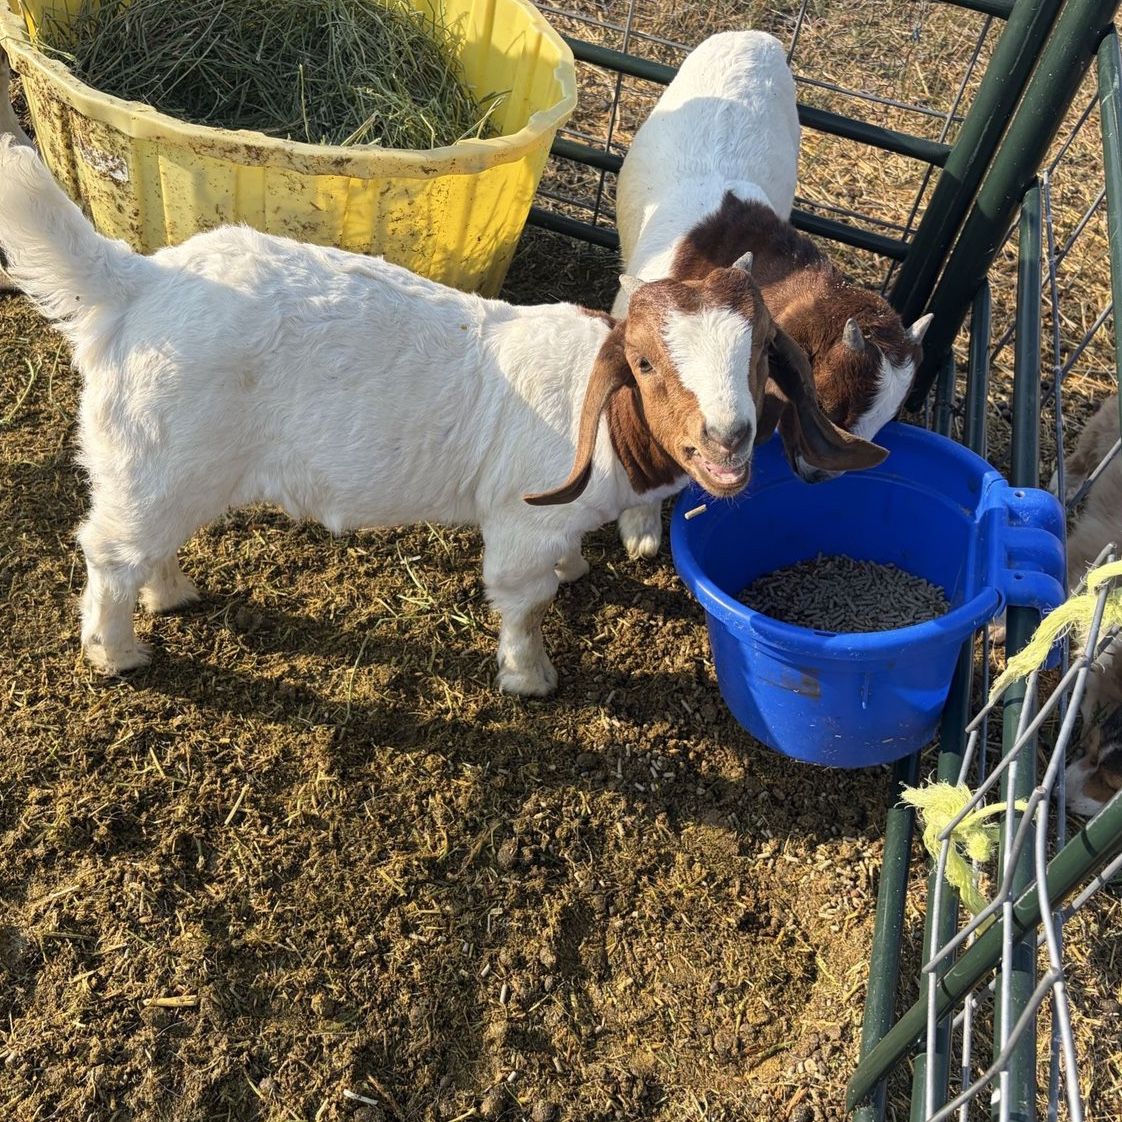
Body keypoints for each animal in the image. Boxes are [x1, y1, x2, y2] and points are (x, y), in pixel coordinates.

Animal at [0, 135, 886, 695]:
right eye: (644, 365)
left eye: (761, 354)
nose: (728, 438)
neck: (600, 421)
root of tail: (138, 283)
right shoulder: (523, 526)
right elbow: (524, 601)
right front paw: (530, 679)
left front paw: (579, 570)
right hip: (152, 454)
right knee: (109, 552)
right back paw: (119, 652)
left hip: (175, 469)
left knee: (147, 544)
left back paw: (172, 594)